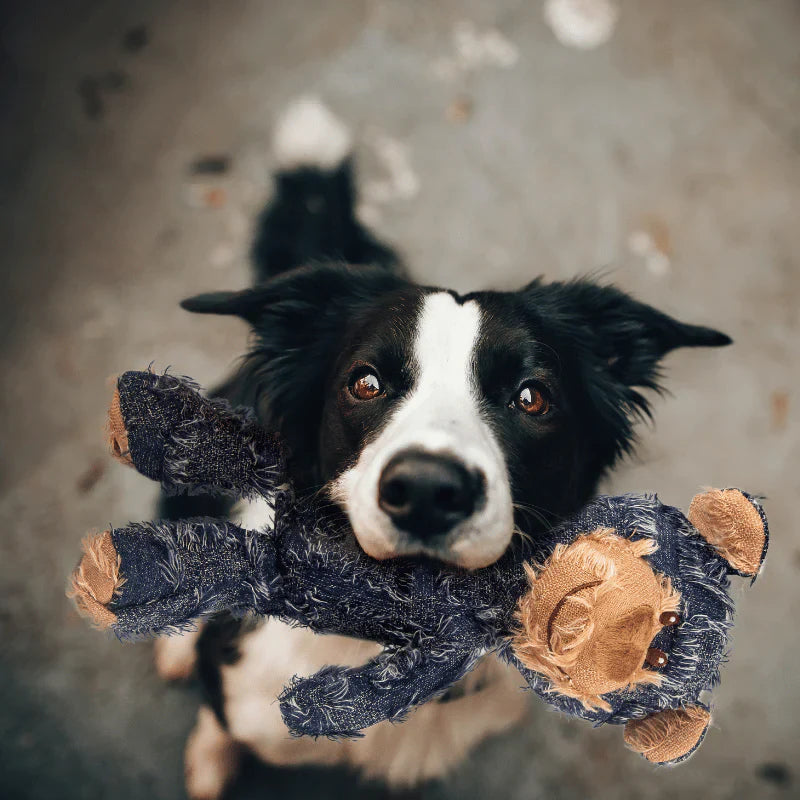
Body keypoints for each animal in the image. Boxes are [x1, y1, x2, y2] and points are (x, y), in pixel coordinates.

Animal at [152, 97, 732, 796]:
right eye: (365, 382)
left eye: (532, 397)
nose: (428, 490)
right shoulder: (242, 694)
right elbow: (220, 720)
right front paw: (210, 761)